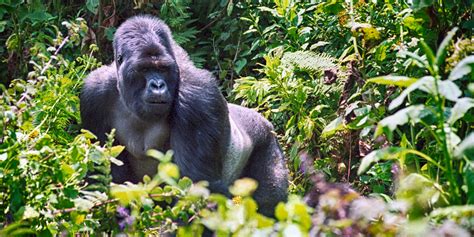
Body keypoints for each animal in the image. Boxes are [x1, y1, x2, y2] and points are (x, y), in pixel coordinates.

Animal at [80, 14, 288, 215]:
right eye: (144, 69)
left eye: (162, 69)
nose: (158, 85)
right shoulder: (93, 94)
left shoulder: (197, 97)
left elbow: (197, 189)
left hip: (267, 140)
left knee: (269, 205)